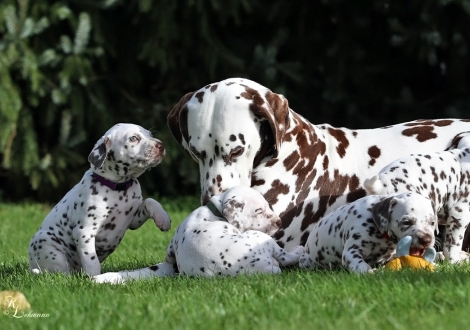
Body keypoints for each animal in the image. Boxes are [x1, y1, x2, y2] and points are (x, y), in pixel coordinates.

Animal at [28, 124, 171, 276]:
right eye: (133, 138)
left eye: (150, 134)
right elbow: (92, 261)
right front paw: (95, 278)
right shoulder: (84, 232)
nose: (161, 145)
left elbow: (150, 201)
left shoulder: (133, 219)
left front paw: (163, 219)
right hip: (45, 243)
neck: (118, 187)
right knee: (61, 272)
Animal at [93, 186, 302, 284]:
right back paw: (298, 252)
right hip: (261, 239)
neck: (214, 209)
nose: (279, 222)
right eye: (258, 210)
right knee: (285, 255)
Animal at [300, 191, 436, 274]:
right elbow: (360, 264)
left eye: (432, 222)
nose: (426, 240)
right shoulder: (352, 252)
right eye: (406, 222)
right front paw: (370, 272)